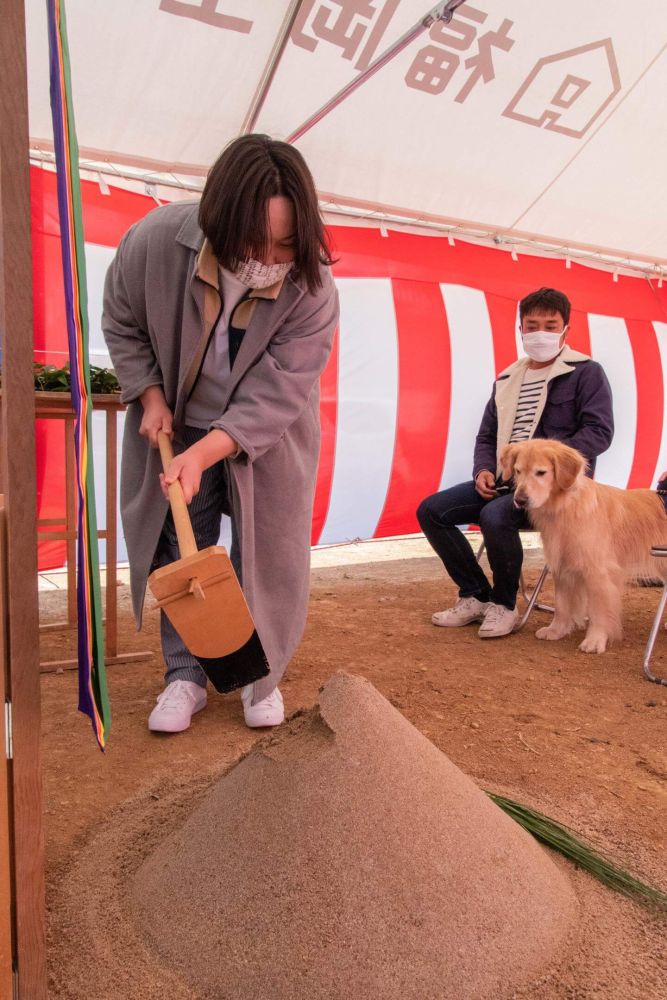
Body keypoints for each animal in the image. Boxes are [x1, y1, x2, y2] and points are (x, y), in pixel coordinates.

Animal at [500, 442, 667, 652]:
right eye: (518, 471)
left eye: (541, 472)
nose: (520, 500)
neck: (565, 507)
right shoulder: (561, 566)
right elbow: (562, 604)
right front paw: (556, 630)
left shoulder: (598, 572)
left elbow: (598, 610)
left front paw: (595, 640)